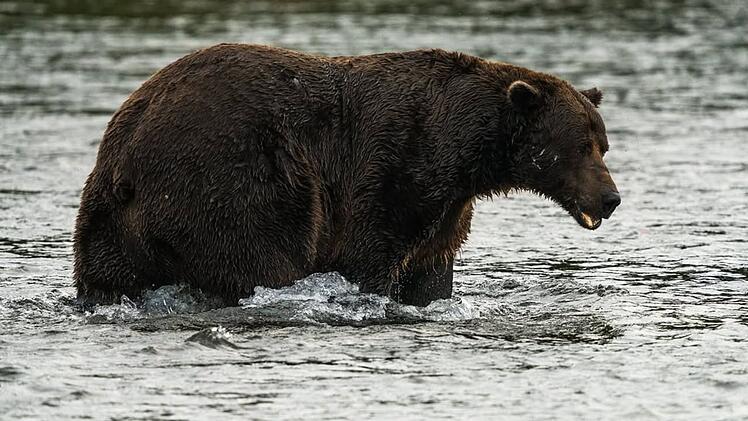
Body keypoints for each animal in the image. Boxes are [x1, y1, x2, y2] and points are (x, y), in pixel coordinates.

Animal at [73, 44, 620, 307]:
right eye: (580, 146)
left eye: (604, 143)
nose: (611, 198)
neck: (464, 153)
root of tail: (125, 157)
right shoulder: (395, 168)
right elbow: (371, 256)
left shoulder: (448, 205)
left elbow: (432, 267)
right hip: (230, 182)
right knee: (259, 258)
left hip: (108, 222)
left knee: (107, 276)